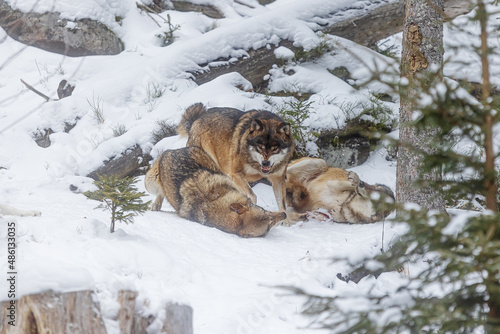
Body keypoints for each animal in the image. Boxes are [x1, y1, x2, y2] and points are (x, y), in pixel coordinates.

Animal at [144, 147, 286, 237]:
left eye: (266, 211)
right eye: (269, 226)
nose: (284, 215)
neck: (213, 200)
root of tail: (170, 151)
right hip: (150, 183)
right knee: (159, 192)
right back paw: (156, 205)